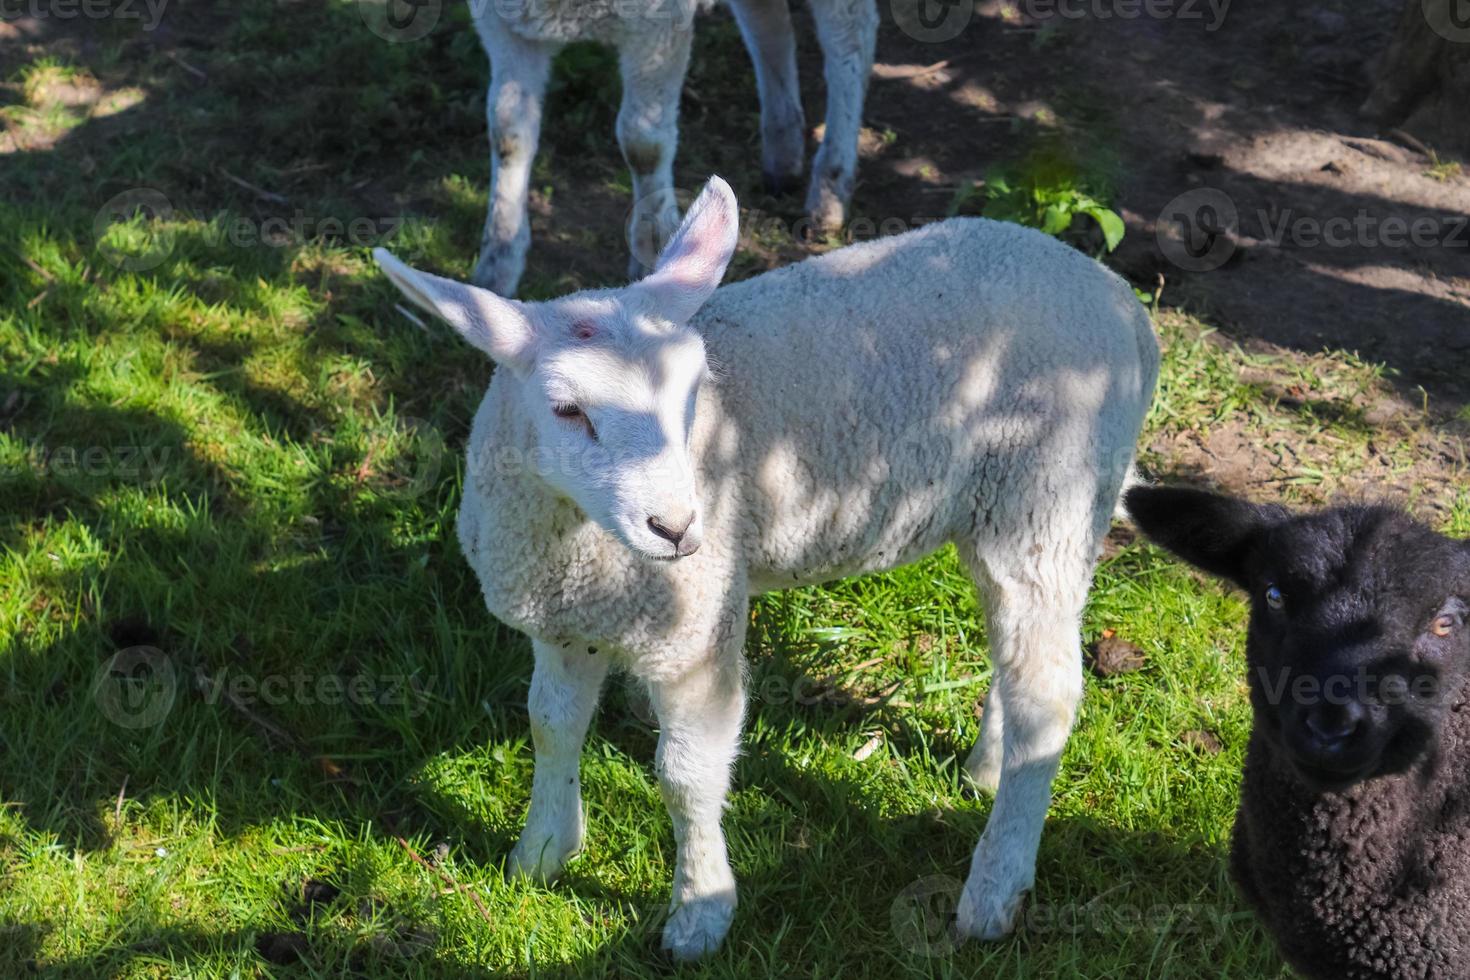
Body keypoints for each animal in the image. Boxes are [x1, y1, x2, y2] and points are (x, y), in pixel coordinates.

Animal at [376, 174, 1158, 957]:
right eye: (567, 409)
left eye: (693, 394)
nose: (677, 528)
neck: (578, 541)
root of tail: (1120, 302)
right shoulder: (566, 621)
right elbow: (551, 726)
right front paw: (541, 853)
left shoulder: (692, 632)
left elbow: (686, 776)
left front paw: (700, 912)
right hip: (1013, 513)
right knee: (1019, 654)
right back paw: (988, 772)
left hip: (1047, 495)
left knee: (1048, 695)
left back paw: (994, 887)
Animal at [476, 0, 876, 295]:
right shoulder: (502, 23)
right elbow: (508, 132)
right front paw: (498, 262)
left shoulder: (659, 27)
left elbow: (642, 141)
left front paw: (654, 245)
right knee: (768, 23)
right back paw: (783, 152)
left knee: (850, 35)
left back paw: (830, 186)